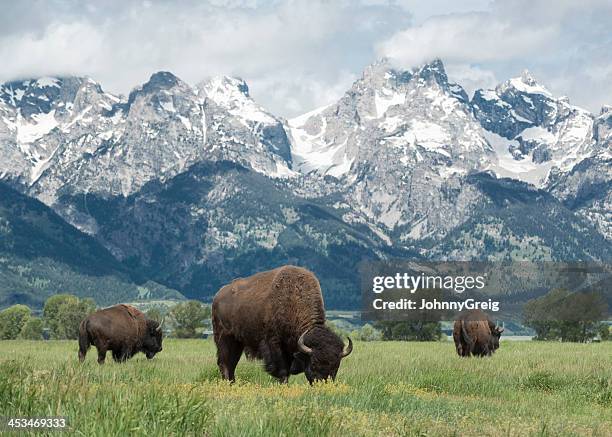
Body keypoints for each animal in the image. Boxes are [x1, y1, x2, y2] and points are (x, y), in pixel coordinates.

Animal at [212, 264, 352, 384]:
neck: (293, 299)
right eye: (313, 363)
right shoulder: (275, 344)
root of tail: (218, 295)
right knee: (225, 363)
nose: (322, 383)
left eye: (336, 366)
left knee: (231, 363)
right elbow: (283, 370)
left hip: (238, 342)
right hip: (224, 338)